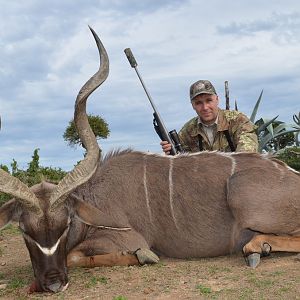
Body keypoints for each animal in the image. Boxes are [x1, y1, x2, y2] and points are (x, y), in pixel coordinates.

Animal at [0, 28, 300, 292]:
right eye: (24, 230)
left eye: (65, 226)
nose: (53, 283)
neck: (93, 198)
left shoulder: (127, 236)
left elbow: (75, 255)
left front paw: (144, 256)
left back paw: (256, 247)